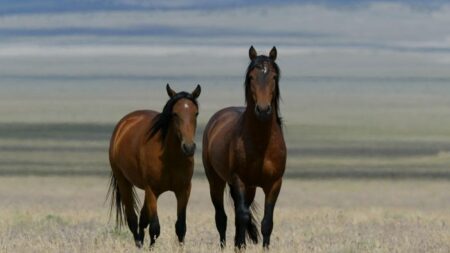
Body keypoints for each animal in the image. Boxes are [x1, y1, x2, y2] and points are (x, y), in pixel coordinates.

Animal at [107, 84, 200, 248]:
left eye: (196, 113)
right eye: (175, 114)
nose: (188, 147)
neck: (170, 158)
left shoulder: (184, 190)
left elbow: (181, 226)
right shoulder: (152, 191)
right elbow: (155, 227)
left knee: (143, 218)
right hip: (124, 182)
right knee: (133, 219)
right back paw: (138, 245)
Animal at [203, 46, 286, 249]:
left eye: (273, 76)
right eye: (251, 77)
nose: (263, 110)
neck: (261, 143)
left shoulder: (274, 184)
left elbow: (267, 222)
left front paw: (261, 248)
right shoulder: (239, 180)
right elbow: (242, 216)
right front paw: (239, 246)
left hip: (251, 188)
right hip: (216, 181)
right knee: (222, 217)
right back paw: (225, 246)